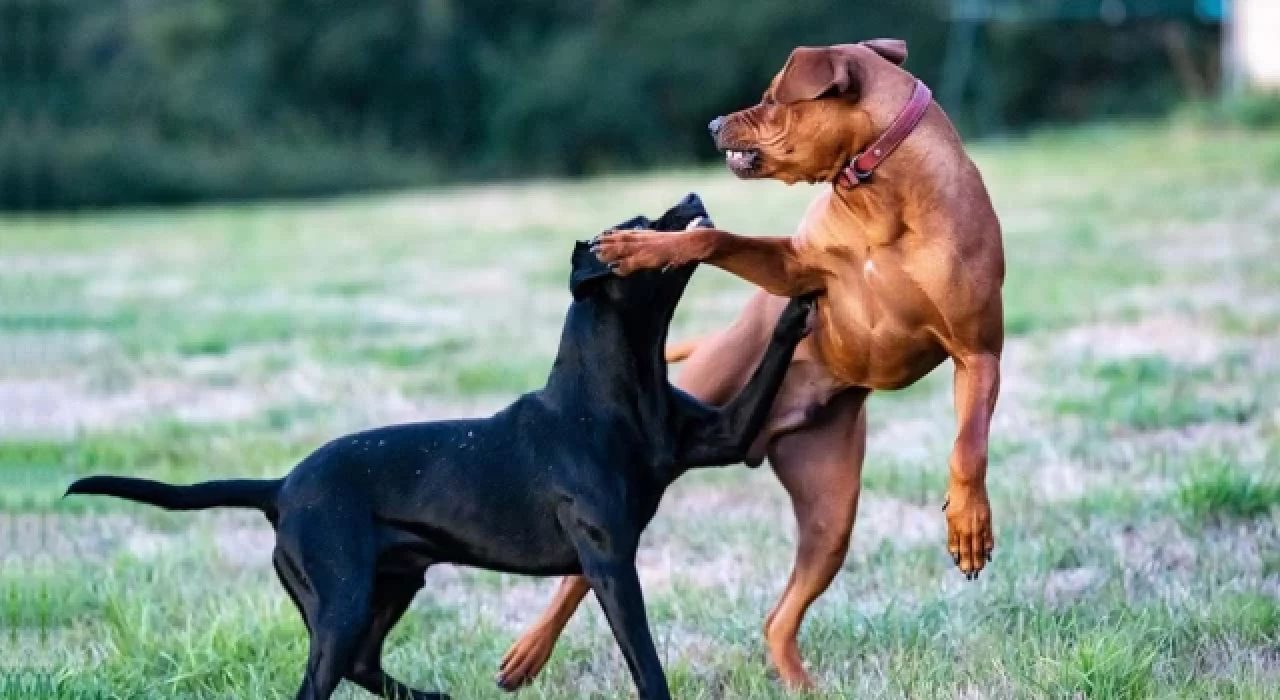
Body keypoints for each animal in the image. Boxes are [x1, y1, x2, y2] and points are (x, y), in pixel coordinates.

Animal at [67, 194, 808, 700]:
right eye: (637, 226)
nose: (691, 195)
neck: (617, 386)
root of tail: (278, 488)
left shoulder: (724, 437)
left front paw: (801, 302)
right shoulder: (608, 560)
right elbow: (644, 659)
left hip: (391, 584)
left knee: (362, 664)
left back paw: (426, 697)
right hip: (341, 599)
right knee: (321, 682)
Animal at [494, 39, 1003, 691]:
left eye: (770, 98)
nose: (713, 123)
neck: (879, 194)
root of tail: (766, 435)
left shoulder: (979, 354)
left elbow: (969, 446)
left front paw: (969, 523)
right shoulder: (794, 267)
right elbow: (714, 239)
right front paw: (643, 248)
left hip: (830, 515)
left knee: (778, 618)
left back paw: (802, 686)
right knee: (576, 577)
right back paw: (527, 653)